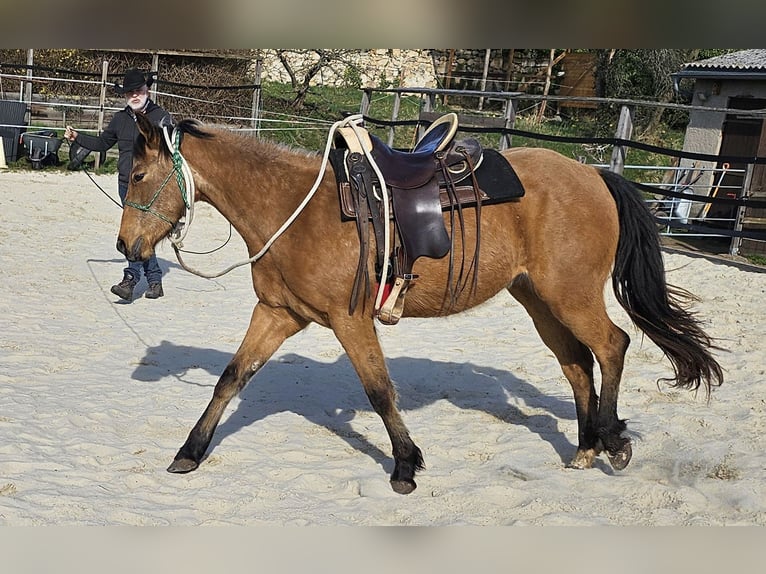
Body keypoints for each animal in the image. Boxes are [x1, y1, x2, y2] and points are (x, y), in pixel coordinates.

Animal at [116, 113, 724, 495]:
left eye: (139, 174)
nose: (125, 246)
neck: (294, 208)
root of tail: (593, 174)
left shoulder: (350, 320)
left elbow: (380, 390)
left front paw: (405, 465)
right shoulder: (277, 314)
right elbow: (231, 378)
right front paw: (190, 452)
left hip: (570, 296)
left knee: (612, 346)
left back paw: (614, 441)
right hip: (539, 300)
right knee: (577, 365)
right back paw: (586, 448)